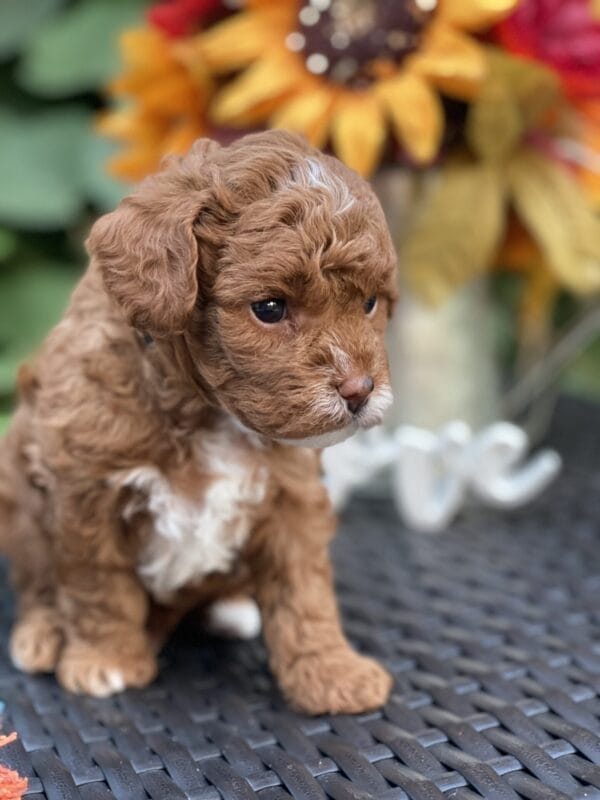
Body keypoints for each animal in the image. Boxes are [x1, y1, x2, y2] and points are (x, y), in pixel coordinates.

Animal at [0, 130, 398, 712]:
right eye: (270, 308)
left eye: (370, 303)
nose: (359, 390)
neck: (209, 413)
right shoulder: (86, 493)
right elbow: (100, 585)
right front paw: (105, 659)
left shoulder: (292, 498)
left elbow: (305, 592)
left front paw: (332, 672)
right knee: (37, 584)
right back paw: (43, 632)